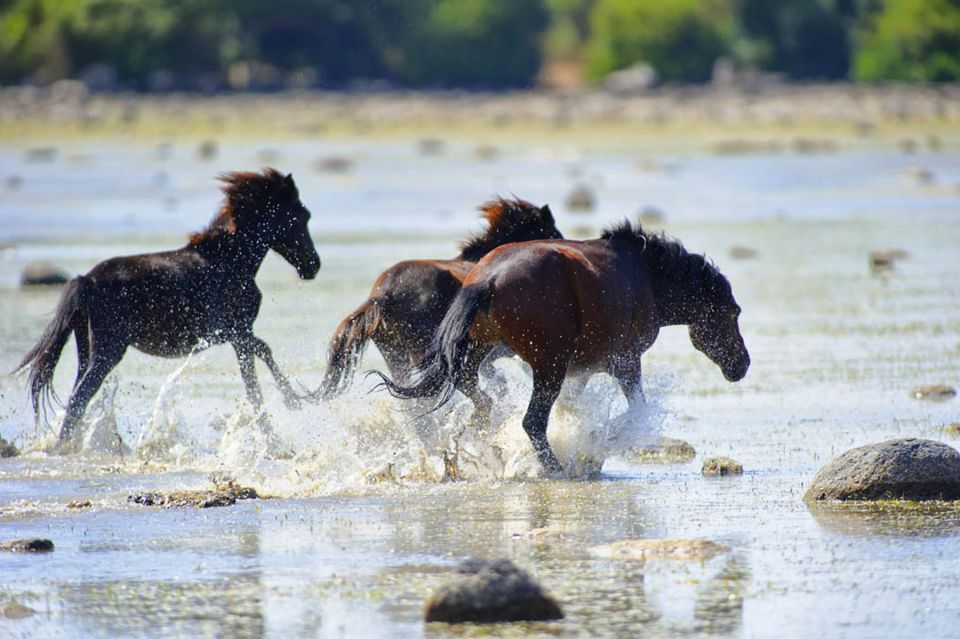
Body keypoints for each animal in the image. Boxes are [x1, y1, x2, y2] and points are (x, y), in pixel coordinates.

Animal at [15, 169, 322, 444]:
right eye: (302, 215)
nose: (313, 266)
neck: (230, 261)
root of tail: (86, 279)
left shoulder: (236, 336)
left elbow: (253, 383)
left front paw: (276, 435)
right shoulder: (232, 331)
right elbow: (263, 355)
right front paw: (292, 403)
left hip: (87, 351)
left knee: (76, 397)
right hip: (107, 352)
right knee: (80, 398)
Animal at [376, 220, 752, 476]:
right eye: (733, 311)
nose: (742, 364)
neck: (646, 276)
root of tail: (488, 279)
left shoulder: (581, 370)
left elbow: (576, 409)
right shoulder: (626, 362)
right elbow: (636, 412)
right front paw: (594, 449)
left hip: (483, 352)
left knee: (479, 398)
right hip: (548, 368)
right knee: (531, 422)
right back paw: (553, 469)